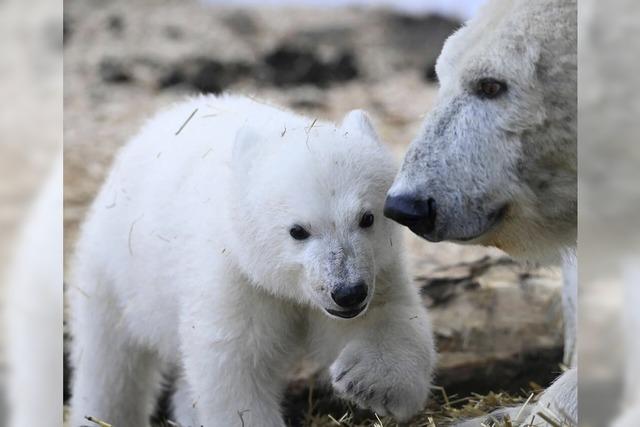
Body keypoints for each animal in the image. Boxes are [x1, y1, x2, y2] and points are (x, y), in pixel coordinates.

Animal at [70, 96, 438, 427]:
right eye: (297, 231)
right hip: (115, 268)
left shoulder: (379, 269)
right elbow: (234, 366)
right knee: (109, 362)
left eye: (366, 218)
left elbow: (390, 313)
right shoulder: (235, 276)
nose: (347, 292)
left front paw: (367, 382)